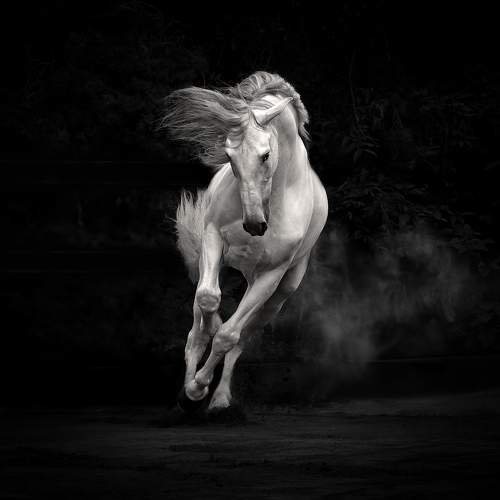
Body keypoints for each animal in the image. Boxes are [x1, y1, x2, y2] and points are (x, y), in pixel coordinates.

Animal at [162, 71, 328, 411]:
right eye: (229, 156)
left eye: (265, 155)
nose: (253, 225)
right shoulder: (213, 238)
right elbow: (208, 300)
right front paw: (192, 387)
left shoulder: (271, 274)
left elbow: (228, 336)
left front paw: (200, 387)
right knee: (199, 323)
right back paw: (187, 390)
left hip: (274, 296)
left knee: (241, 337)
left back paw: (219, 398)